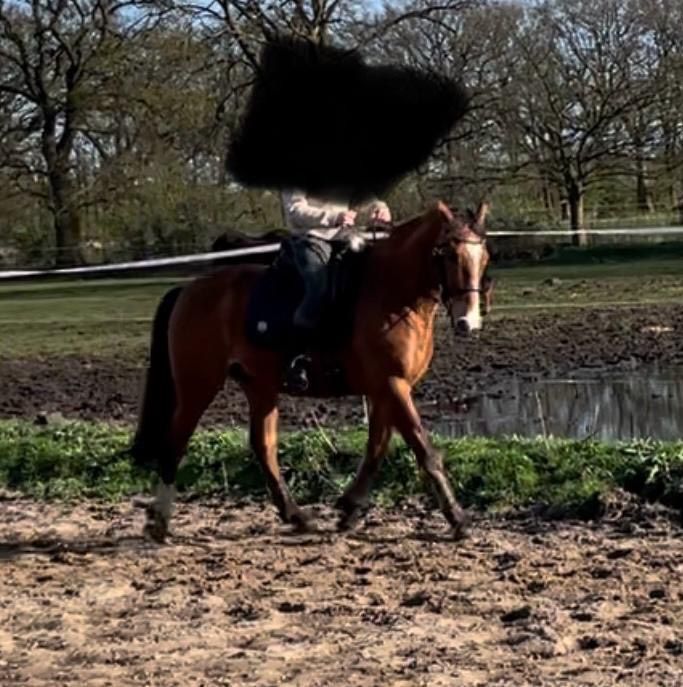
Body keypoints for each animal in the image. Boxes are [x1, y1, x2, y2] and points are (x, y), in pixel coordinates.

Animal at [131, 200, 488, 544]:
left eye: (483, 257)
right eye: (450, 255)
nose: (468, 322)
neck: (391, 294)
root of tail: (188, 290)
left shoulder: (384, 390)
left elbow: (377, 448)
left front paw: (350, 509)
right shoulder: (392, 385)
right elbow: (424, 451)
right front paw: (458, 519)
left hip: (259, 386)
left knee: (263, 446)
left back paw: (295, 515)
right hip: (198, 386)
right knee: (174, 443)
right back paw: (159, 520)